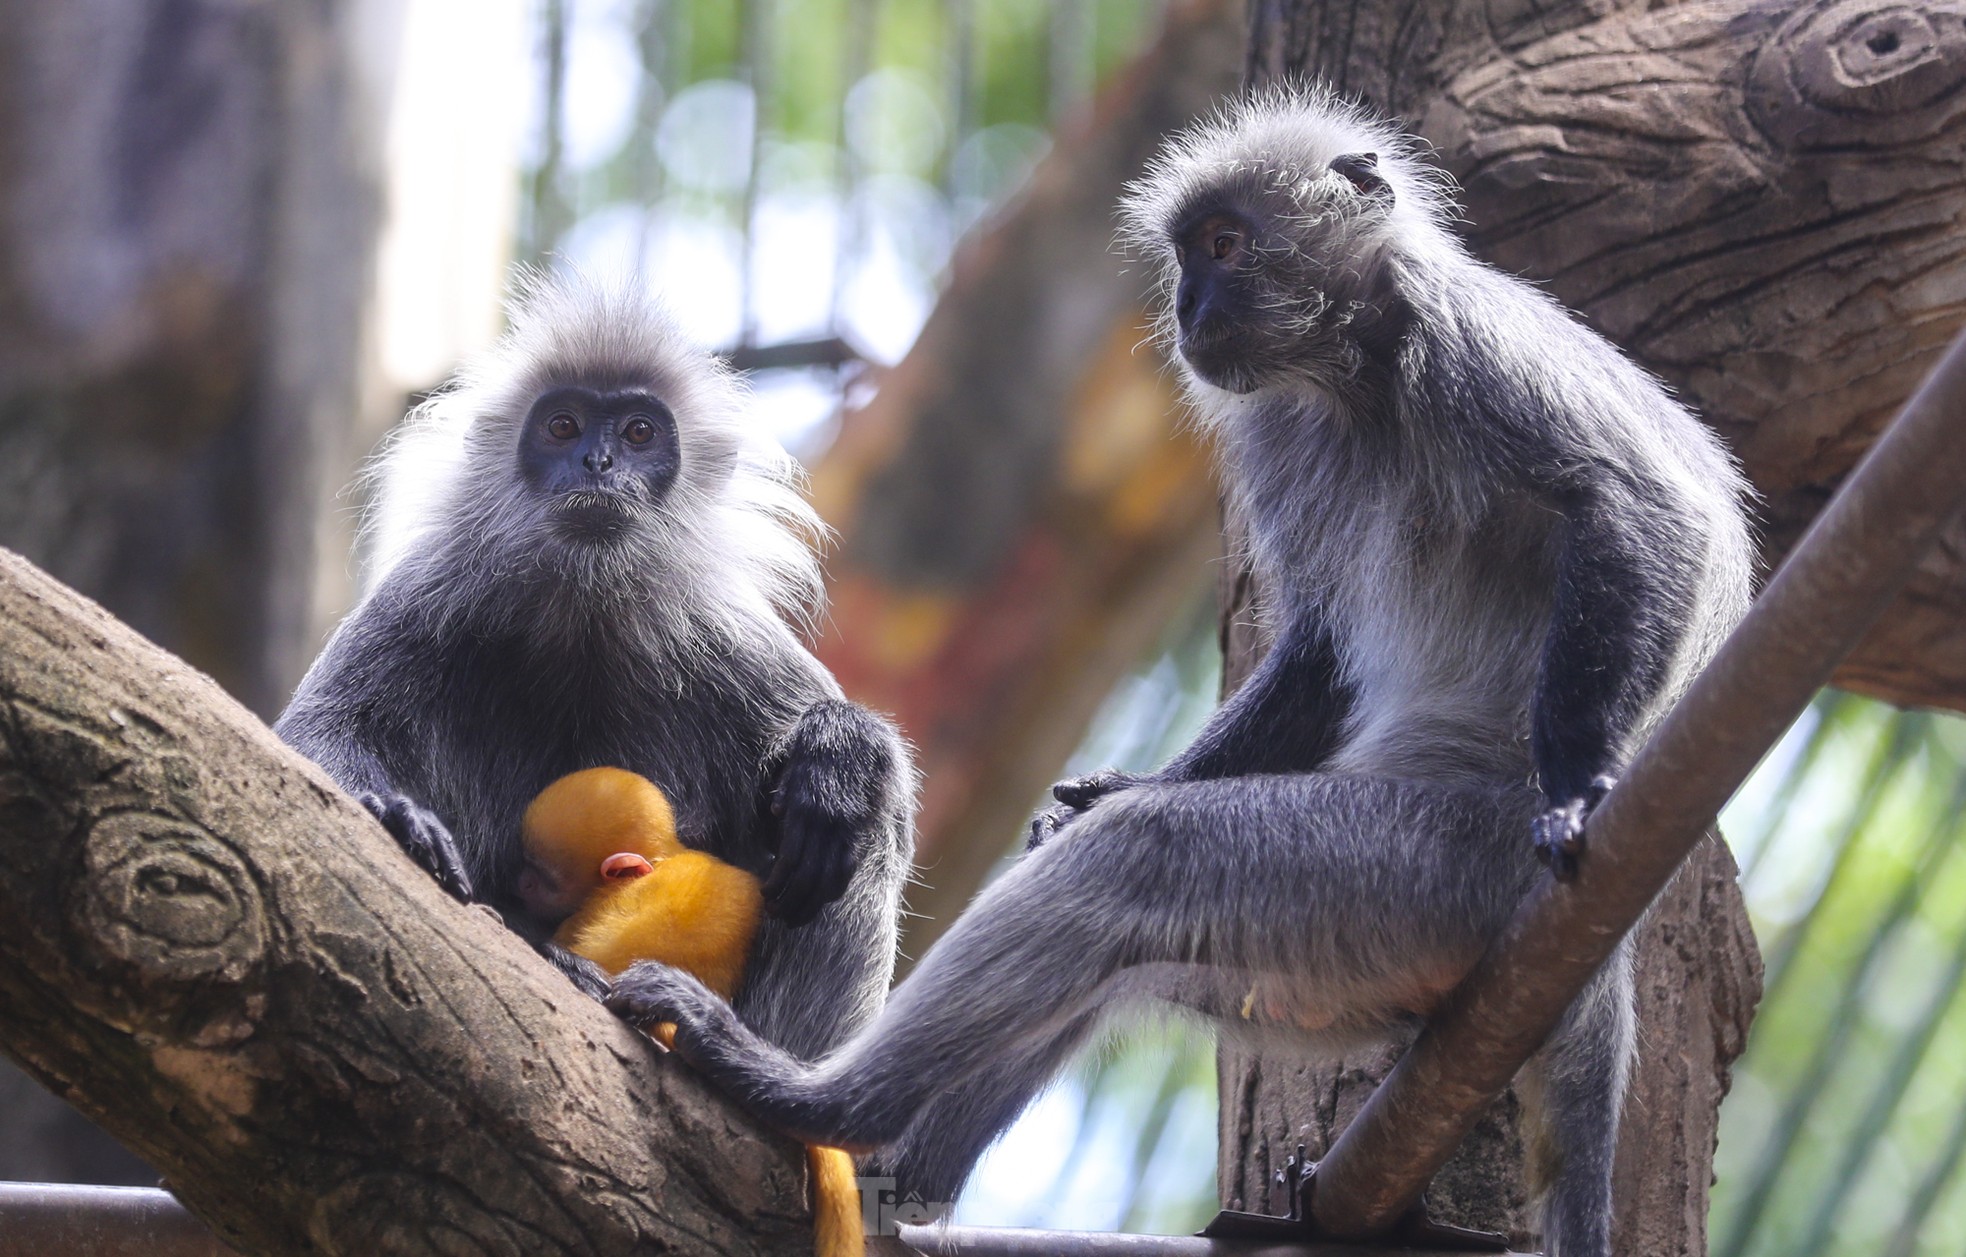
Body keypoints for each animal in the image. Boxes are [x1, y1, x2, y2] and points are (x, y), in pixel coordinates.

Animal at [277, 277, 912, 1062]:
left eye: (639, 434)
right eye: (563, 426)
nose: (597, 465)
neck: (585, 605)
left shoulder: (725, 636)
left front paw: (841, 751)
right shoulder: (423, 600)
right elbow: (315, 738)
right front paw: (393, 811)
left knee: (862, 819)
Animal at [609, 90, 1753, 1257]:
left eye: (1225, 247)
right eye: (1187, 257)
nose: (1189, 304)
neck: (1360, 378)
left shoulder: (1462, 336)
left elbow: (1637, 506)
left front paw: (1573, 790)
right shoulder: (1285, 424)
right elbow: (1322, 653)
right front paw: (1104, 787)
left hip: (1437, 871)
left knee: (1139, 861)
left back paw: (816, 1102)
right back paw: (892, 1176)